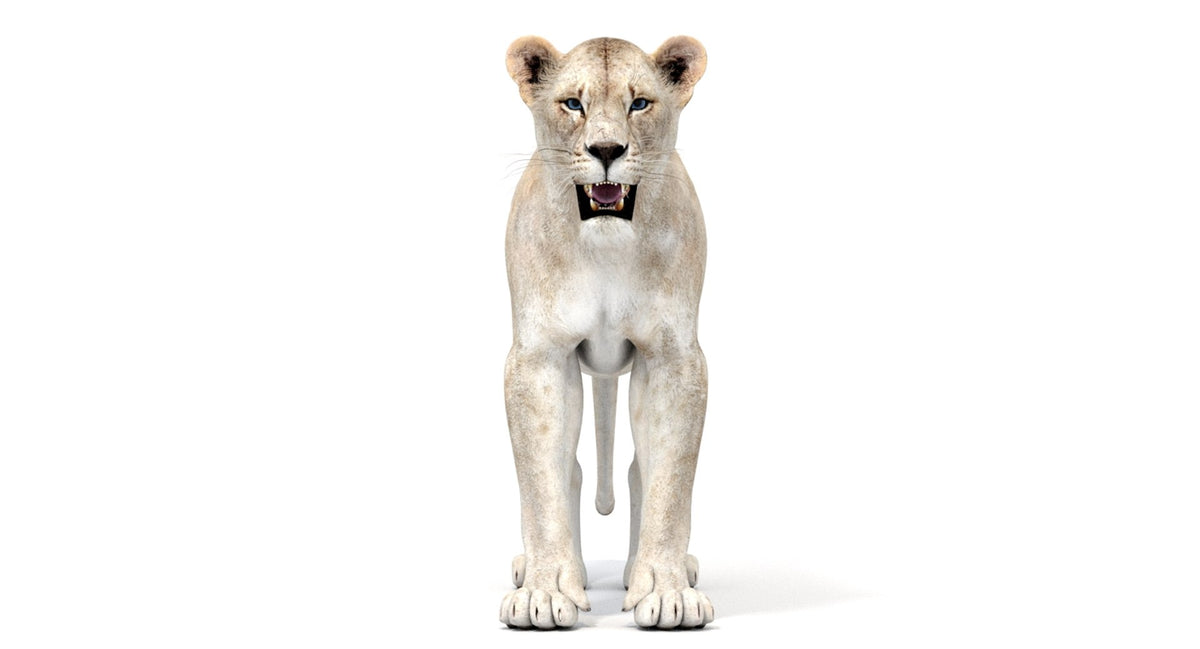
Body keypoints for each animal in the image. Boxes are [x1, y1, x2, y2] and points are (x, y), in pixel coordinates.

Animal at [499, 36, 713, 629]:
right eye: (573, 103)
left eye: (639, 103)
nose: (607, 149)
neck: (606, 246)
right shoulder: (539, 357)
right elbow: (543, 482)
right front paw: (546, 591)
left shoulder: (673, 357)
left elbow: (668, 483)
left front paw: (665, 590)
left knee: (639, 471)